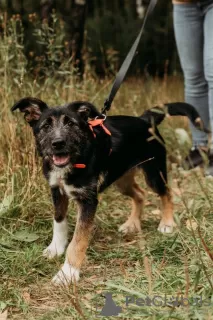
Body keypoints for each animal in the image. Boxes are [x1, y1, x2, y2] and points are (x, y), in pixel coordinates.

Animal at [11, 98, 206, 284]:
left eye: (71, 124)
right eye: (46, 126)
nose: (58, 143)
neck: (74, 160)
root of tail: (144, 119)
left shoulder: (88, 200)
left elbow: (78, 240)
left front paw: (68, 273)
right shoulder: (56, 190)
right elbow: (59, 222)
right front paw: (56, 248)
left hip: (153, 173)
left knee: (166, 193)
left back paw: (166, 223)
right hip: (121, 179)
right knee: (140, 194)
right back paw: (131, 223)